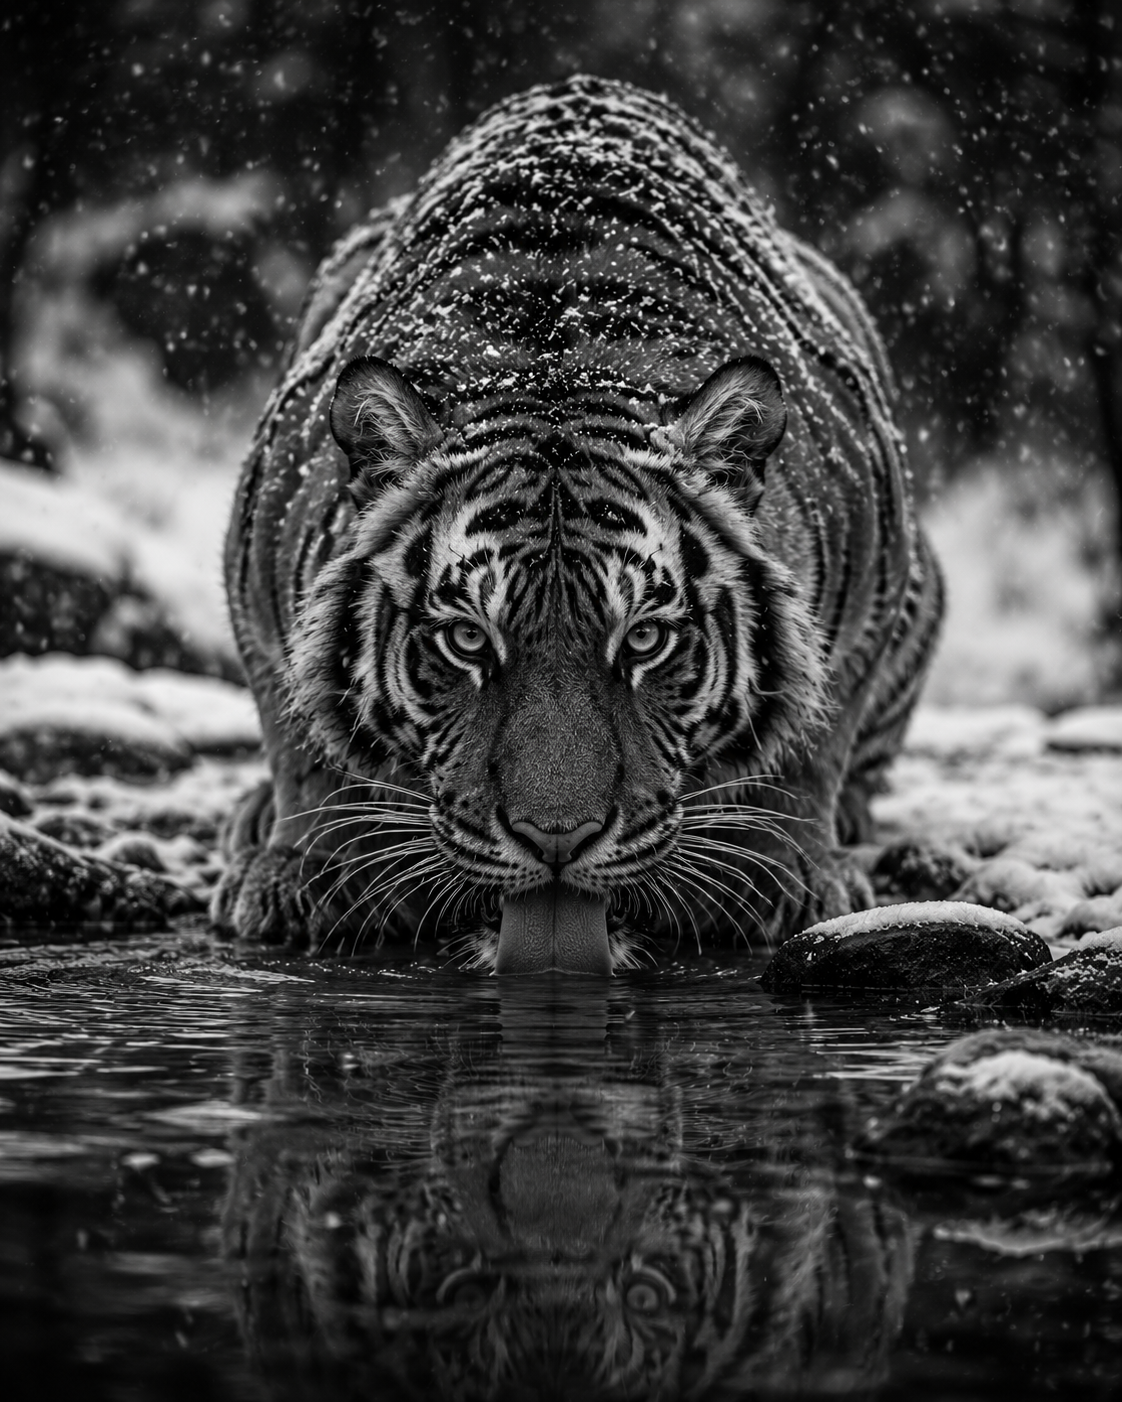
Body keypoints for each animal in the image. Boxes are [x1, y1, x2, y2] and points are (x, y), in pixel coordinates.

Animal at [212, 74, 942, 969]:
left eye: (646, 640)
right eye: (466, 640)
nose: (556, 839)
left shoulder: (874, 548)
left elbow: (815, 733)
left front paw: (785, 874)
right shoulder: (256, 561)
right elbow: (297, 734)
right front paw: (308, 870)